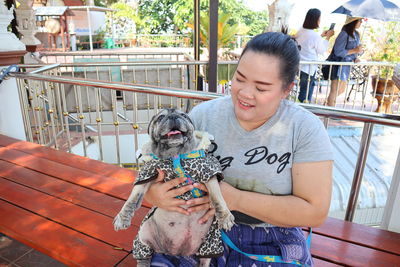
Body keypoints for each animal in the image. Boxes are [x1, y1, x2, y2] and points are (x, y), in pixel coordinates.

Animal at [113, 108, 234, 266]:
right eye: (161, 118)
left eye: (184, 116)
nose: (174, 117)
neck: (175, 155)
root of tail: (175, 252)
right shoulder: (147, 175)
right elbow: (132, 199)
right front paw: (122, 218)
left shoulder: (209, 172)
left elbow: (217, 197)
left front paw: (224, 216)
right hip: (143, 234)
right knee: (144, 255)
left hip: (210, 243)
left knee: (205, 259)